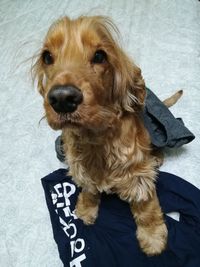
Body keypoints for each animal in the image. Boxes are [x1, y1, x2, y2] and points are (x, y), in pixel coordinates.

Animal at [32, 15, 170, 258]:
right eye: (47, 56)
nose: (62, 99)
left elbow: (146, 208)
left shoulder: (138, 175)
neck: (96, 140)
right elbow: (89, 188)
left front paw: (153, 238)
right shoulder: (80, 166)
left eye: (99, 56)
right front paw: (85, 209)